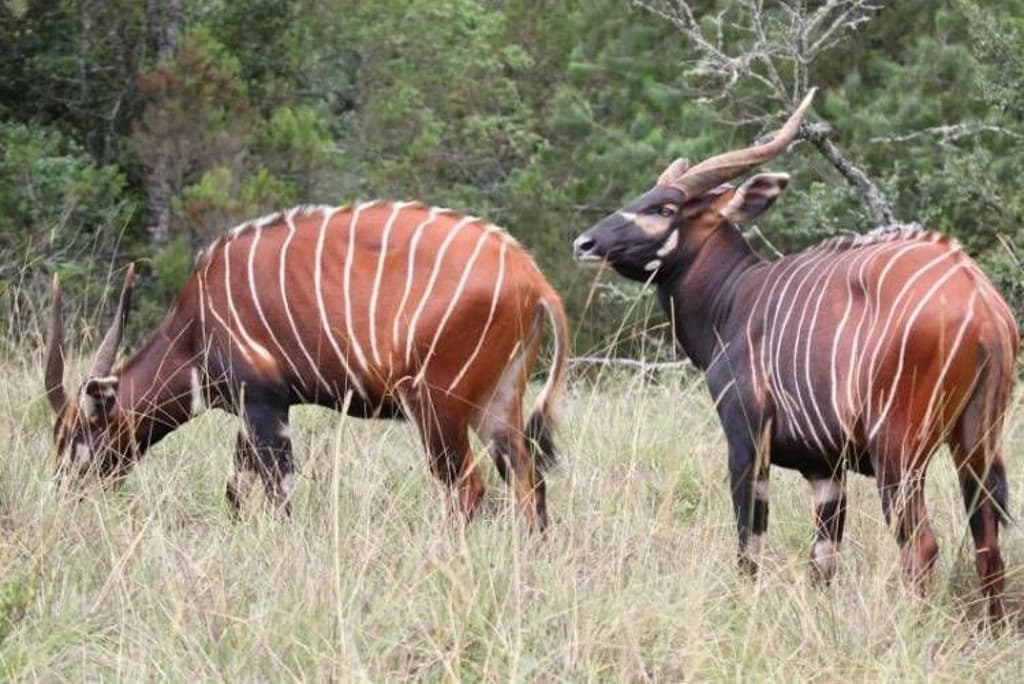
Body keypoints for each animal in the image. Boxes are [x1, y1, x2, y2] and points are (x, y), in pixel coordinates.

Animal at [45, 202, 568, 529]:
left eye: (76, 435)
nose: (62, 493)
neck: (193, 330)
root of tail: (533, 279)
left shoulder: (263, 405)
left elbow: (281, 495)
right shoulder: (253, 414)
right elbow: (235, 491)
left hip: (437, 408)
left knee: (469, 488)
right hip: (496, 405)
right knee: (529, 483)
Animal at [572, 91, 1018, 622]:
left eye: (664, 206)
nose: (584, 243)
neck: (733, 300)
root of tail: (981, 302)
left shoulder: (747, 442)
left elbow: (749, 546)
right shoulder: (826, 470)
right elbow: (822, 563)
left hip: (899, 453)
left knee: (922, 546)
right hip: (975, 446)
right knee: (988, 546)